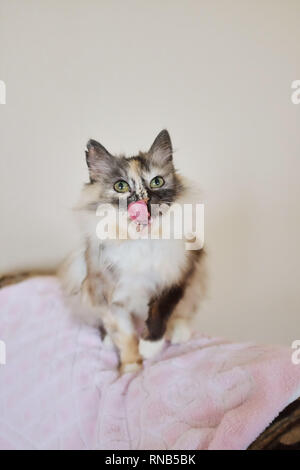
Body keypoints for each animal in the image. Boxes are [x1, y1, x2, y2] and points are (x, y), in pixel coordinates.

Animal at [59, 130, 204, 372]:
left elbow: (160, 313)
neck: (140, 240)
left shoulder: (176, 277)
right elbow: (125, 335)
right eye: (121, 186)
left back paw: (178, 333)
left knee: (183, 312)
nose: (144, 200)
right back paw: (109, 341)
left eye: (157, 182)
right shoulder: (107, 295)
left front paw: (149, 348)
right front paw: (131, 368)